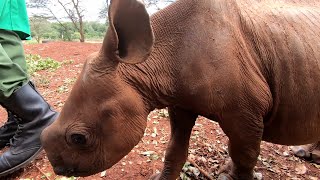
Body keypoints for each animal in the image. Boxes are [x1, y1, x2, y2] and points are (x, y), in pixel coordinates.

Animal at [40, 0, 320, 179]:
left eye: (79, 138)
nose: (59, 169)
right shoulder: (179, 99)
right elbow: (174, 150)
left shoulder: (245, 111)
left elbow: (244, 158)